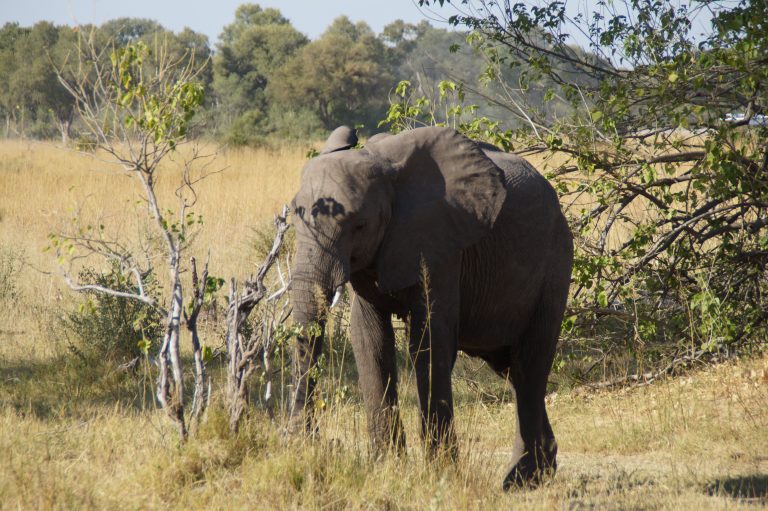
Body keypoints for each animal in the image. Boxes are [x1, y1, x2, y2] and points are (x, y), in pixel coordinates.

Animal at [288, 125, 573, 489]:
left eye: (359, 225)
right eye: (293, 216)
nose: (305, 445)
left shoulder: (443, 244)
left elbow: (429, 340)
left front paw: (439, 473)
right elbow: (369, 339)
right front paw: (386, 467)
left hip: (555, 264)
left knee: (530, 366)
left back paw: (522, 479)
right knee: (512, 369)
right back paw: (537, 472)